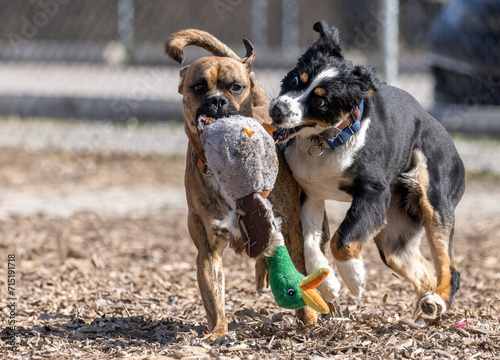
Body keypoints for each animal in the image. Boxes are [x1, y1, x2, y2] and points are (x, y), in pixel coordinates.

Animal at [166, 29, 326, 338]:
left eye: (236, 87)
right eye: (199, 86)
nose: (217, 100)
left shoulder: (290, 230)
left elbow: (301, 273)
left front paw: (309, 321)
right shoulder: (208, 250)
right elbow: (213, 296)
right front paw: (218, 332)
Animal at [270, 21, 464, 320]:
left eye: (321, 101)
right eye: (294, 80)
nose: (277, 110)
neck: (327, 142)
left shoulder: (373, 194)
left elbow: (341, 239)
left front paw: (355, 278)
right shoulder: (310, 193)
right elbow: (309, 242)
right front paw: (328, 285)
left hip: (434, 201)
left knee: (450, 268)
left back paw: (438, 300)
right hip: (394, 234)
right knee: (419, 269)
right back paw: (426, 309)